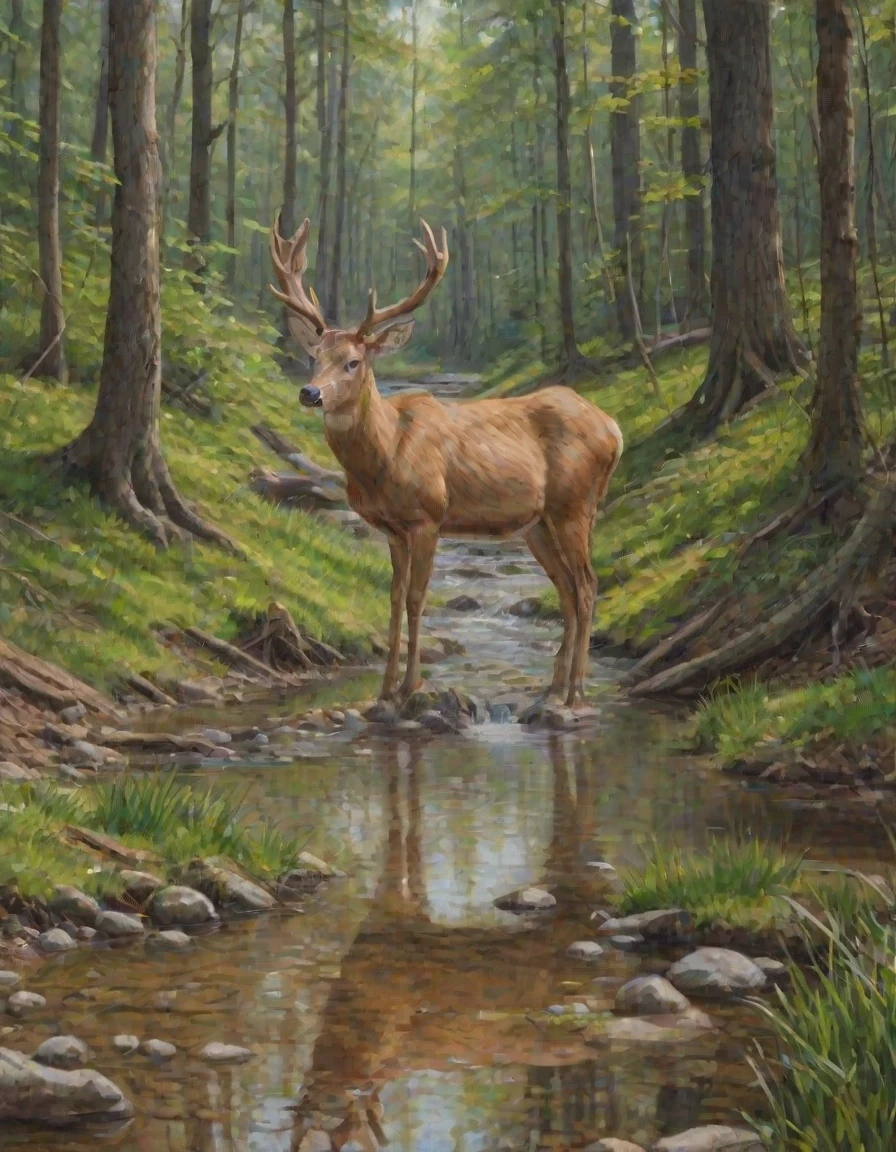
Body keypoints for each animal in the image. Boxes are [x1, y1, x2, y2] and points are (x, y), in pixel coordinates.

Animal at [269, 213, 624, 710]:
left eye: (354, 362)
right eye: (313, 357)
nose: (310, 392)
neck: (386, 454)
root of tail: (614, 427)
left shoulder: (428, 516)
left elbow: (417, 599)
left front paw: (409, 687)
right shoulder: (391, 529)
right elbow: (394, 598)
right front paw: (384, 690)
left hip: (576, 505)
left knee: (588, 586)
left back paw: (576, 693)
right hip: (537, 524)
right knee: (568, 591)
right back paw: (553, 688)